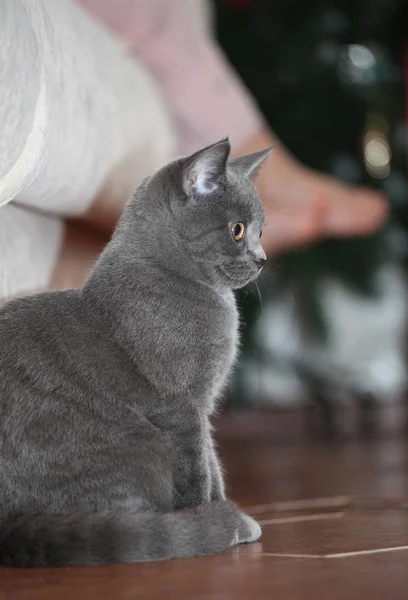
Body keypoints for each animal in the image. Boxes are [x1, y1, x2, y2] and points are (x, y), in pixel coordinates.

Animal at [0, 139, 270, 568]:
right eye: (237, 229)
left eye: (262, 230)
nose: (262, 258)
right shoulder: (180, 405)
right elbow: (197, 467)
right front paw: (212, 518)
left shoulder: (203, 404)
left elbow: (212, 459)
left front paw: (225, 511)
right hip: (143, 442)